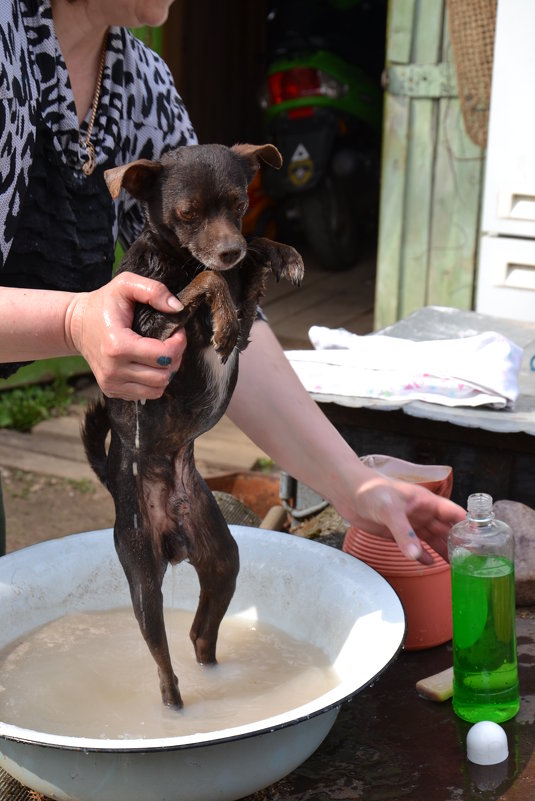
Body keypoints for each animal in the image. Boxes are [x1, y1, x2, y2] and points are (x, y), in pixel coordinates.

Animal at [81, 144, 304, 708]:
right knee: (163, 661)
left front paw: (278, 251)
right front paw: (221, 306)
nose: (228, 250)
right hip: (143, 578)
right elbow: (203, 285)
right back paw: (176, 708)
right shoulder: (149, 329)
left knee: (200, 634)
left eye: (240, 203)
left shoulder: (246, 310)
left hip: (222, 558)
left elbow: (244, 276)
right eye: (187, 214)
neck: (179, 258)